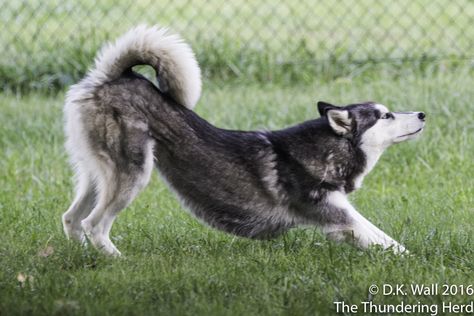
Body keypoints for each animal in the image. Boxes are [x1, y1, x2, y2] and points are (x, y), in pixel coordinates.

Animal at [60, 25, 426, 256]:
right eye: (384, 116)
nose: (422, 114)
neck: (328, 151)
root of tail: (116, 77)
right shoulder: (338, 217)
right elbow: (389, 243)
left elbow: (385, 238)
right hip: (132, 174)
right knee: (94, 224)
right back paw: (116, 260)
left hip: (98, 175)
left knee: (71, 218)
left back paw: (84, 258)